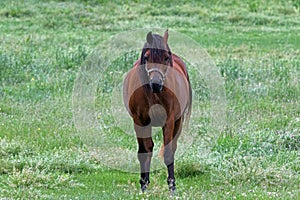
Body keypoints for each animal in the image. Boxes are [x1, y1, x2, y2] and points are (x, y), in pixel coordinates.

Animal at [122, 28, 191, 193]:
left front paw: (172, 186)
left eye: (166, 58)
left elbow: (168, 152)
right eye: (146, 57)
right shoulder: (139, 121)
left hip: (178, 122)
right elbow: (144, 151)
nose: (155, 84)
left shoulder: (169, 121)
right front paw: (143, 184)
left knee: (172, 147)